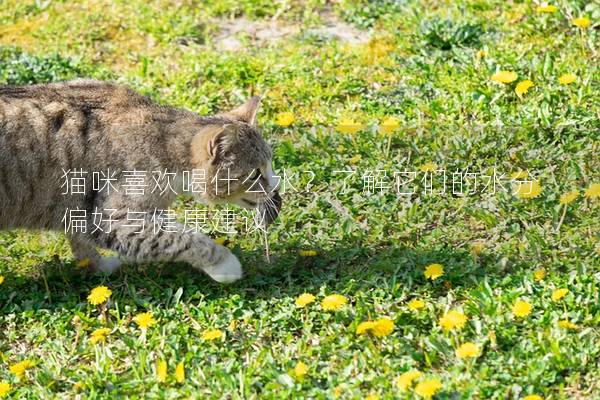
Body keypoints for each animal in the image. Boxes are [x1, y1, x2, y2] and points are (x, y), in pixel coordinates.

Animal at [0, 79, 282, 282]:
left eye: (270, 165)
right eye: (255, 173)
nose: (276, 188)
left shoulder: (80, 209)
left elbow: (81, 241)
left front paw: (98, 267)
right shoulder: (112, 218)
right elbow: (181, 238)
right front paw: (225, 264)